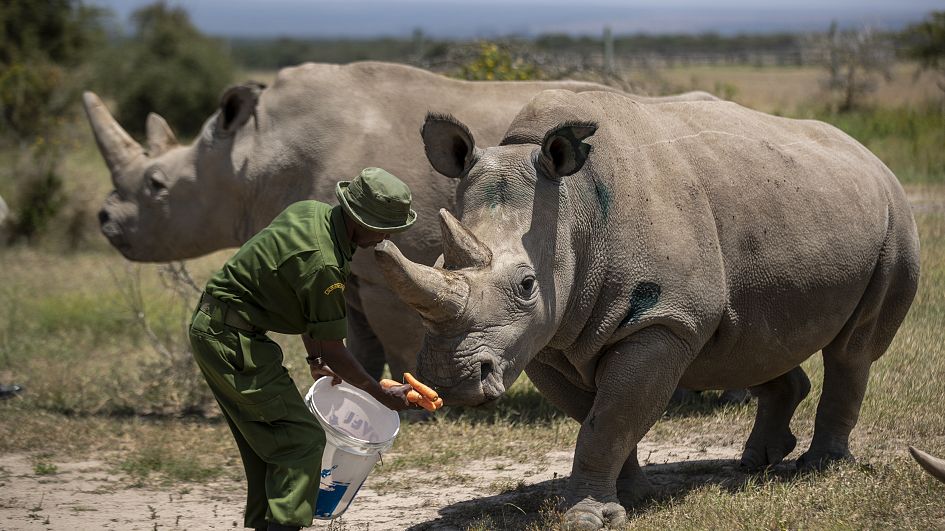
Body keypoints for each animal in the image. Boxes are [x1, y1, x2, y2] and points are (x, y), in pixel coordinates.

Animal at [83, 60, 716, 379]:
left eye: (156, 186)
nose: (105, 220)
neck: (249, 155)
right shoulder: (349, 266)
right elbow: (355, 335)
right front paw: (352, 384)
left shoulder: (397, 260)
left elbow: (398, 330)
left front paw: (421, 394)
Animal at [375, 89, 920, 529]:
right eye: (438, 262)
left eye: (527, 285)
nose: (450, 380)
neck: (573, 211)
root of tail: (868, 154)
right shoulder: (549, 336)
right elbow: (599, 416)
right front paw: (630, 498)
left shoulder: (663, 321)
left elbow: (610, 418)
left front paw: (588, 517)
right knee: (752, 338)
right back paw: (757, 462)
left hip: (895, 217)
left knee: (852, 349)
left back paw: (820, 467)